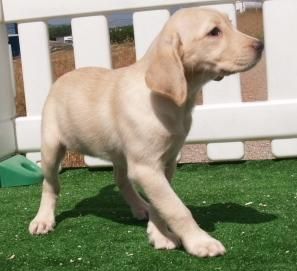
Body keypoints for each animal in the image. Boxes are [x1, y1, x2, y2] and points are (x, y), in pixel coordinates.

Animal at [29, 5, 262, 258]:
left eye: (229, 24)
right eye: (214, 32)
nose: (260, 45)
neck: (173, 103)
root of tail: (60, 79)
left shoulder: (165, 163)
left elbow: (162, 204)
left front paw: (159, 233)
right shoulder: (147, 167)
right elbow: (175, 207)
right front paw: (200, 241)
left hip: (120, 153)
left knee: (121, 180)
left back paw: (141, 206)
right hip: (51, 146)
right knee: (50, 184)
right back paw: (43, 219)